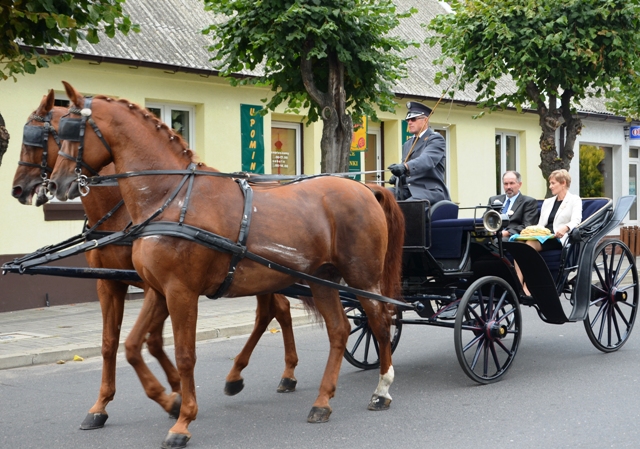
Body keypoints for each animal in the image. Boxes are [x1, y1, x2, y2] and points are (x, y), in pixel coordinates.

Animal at [12, 91, 302, 430]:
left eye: (37, 139)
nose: (18, 188)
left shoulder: (158, 285)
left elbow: (151, 341)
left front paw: (175, 392)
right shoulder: (109, 283)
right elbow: (111, 342)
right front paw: (102, 405)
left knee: (276, 310)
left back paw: (278, 373)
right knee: (276, 310)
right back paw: (258, 374)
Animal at [47, 81, 402, 448]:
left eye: (70, 130)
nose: (56, 184)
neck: (170, 197)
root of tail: (366, 188)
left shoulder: (181, 292)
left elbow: (185, 354)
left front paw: (183, 420)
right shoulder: (158, 290)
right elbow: (131, 344)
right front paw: (168, 401)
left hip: (362, 277)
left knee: (380, 321)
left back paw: (382, 390)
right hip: (321, 279)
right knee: (339, 329)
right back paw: (322, 401)